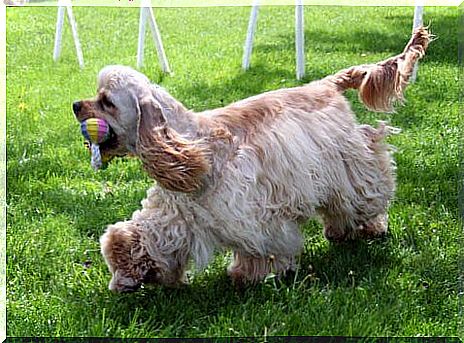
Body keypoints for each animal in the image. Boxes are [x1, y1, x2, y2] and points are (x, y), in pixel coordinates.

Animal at [73, 26, 432, 292]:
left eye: (106, 101)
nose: (75, 105)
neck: (189, 142)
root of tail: (325, 84)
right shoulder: (177, 212)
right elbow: (141, 236)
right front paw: (129, 273)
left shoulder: (252, 213)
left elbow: (261, 246)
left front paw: (249, 274)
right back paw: (341, 232)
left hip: (348, 163)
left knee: (366, 190)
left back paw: (371, 226)